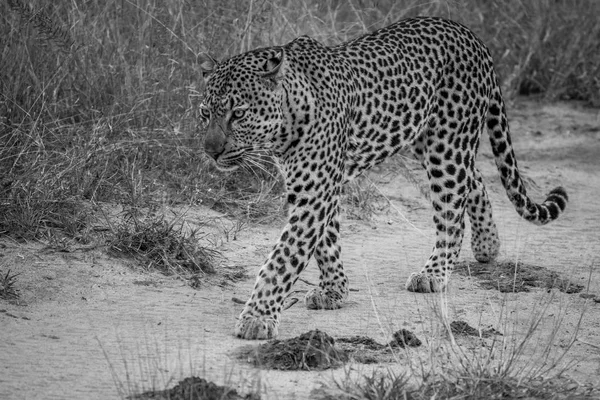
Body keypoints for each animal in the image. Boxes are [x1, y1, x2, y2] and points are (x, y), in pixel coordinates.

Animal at [199, 17, 568, 340]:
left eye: (238, 114)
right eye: (205, 113)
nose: (210, 151)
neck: (285, 125)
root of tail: (471, 35)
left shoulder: (316, 191)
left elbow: (283, 259)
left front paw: (256, 318)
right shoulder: (312, 187)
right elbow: (325, 243)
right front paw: (334, 290)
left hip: (446, 146)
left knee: (452, 213)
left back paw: (434, 273)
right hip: (427, 140)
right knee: (474, 178)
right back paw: (487, 245)